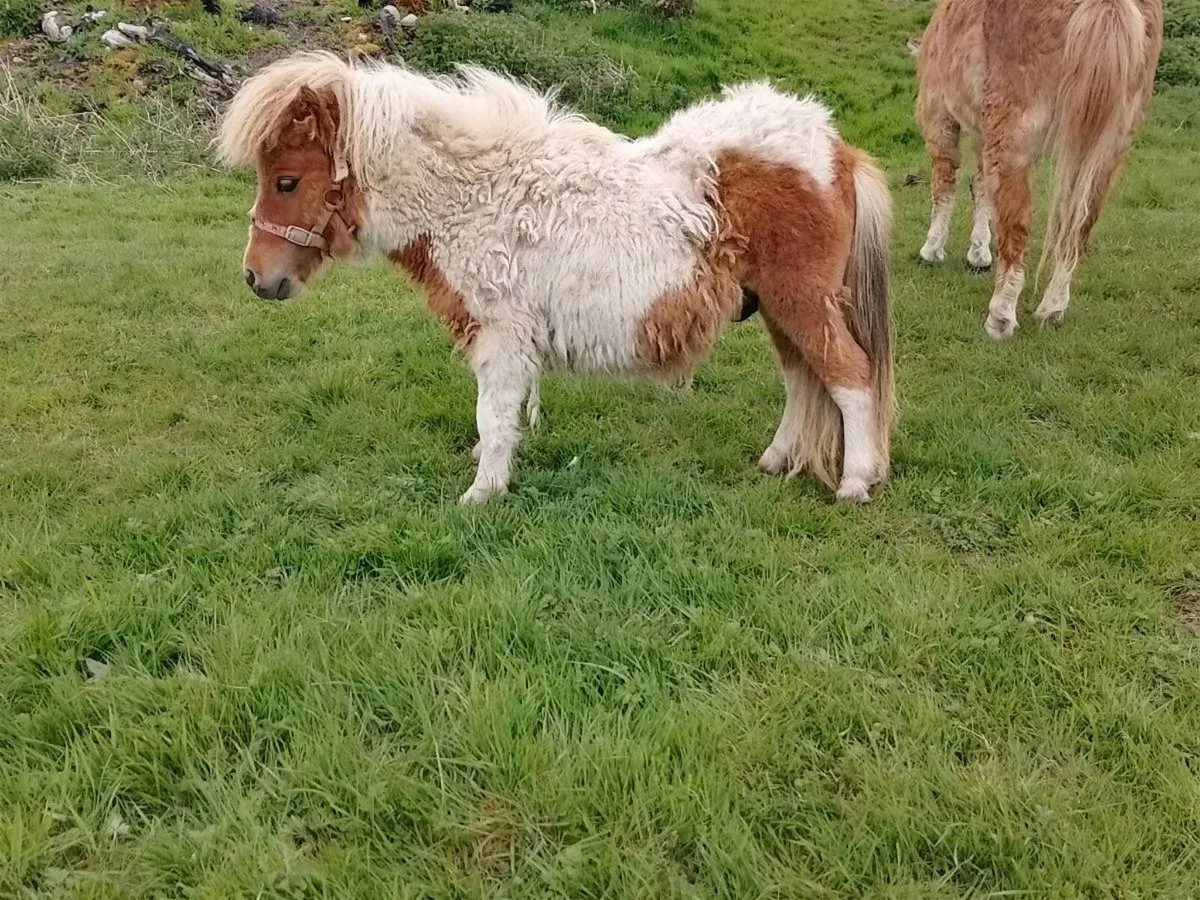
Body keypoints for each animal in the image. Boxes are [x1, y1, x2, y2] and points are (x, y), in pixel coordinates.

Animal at [217, 53, 894, 504]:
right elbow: (500, 415)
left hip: (801, 300)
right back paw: (777, 461)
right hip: (780, 308)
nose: (255, 277)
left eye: (286, 181)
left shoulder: (501, 333)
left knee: (849, 377)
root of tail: (837, 150)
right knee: (804, 383)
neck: (476, 199)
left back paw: (856, 482)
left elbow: (493, 415)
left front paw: (483, 493)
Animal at [915, 0, 1162, 338]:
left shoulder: (939, 111)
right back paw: (1052, 308)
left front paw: (932, 250)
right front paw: (978, 254)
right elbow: (980, 186)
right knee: (1081, 224)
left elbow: (944, 181)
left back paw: (1000, 318)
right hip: (1110, 144)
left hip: (1014, 133)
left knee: (1017, 224)